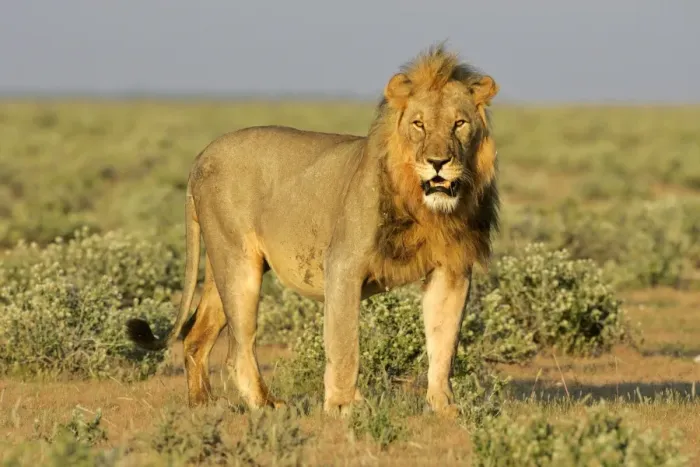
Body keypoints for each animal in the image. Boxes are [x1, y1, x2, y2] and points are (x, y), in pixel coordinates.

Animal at [126, 44, 500, 417]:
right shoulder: (343, 265)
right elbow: (345, 343)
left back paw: (203, 406)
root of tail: (201, 156)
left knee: (196, 337)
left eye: (459, 124)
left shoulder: (451, 270)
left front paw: (445, 407)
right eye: (418, 124)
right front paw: (343, 406)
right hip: (237, 263)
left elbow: (444, 343)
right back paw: (266, 404)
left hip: (223, 264)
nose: (438, 163)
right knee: (238, 349)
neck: (427, 209)